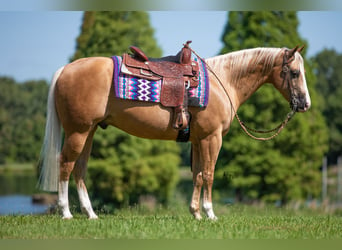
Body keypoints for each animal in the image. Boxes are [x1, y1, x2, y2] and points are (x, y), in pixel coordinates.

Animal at [37, 46, 310, 220]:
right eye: (295, 73)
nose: (305, 104)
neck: (223, 81)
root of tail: (66, 69)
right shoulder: (212, 138)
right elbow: (209, 174)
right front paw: (210, 213)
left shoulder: (199, 140)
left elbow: (197, 175)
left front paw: (196, 213)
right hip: (78, 131)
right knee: (65, 165)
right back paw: (66, 212)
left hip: (89, 131)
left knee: (80, 169)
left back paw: (90, 213)